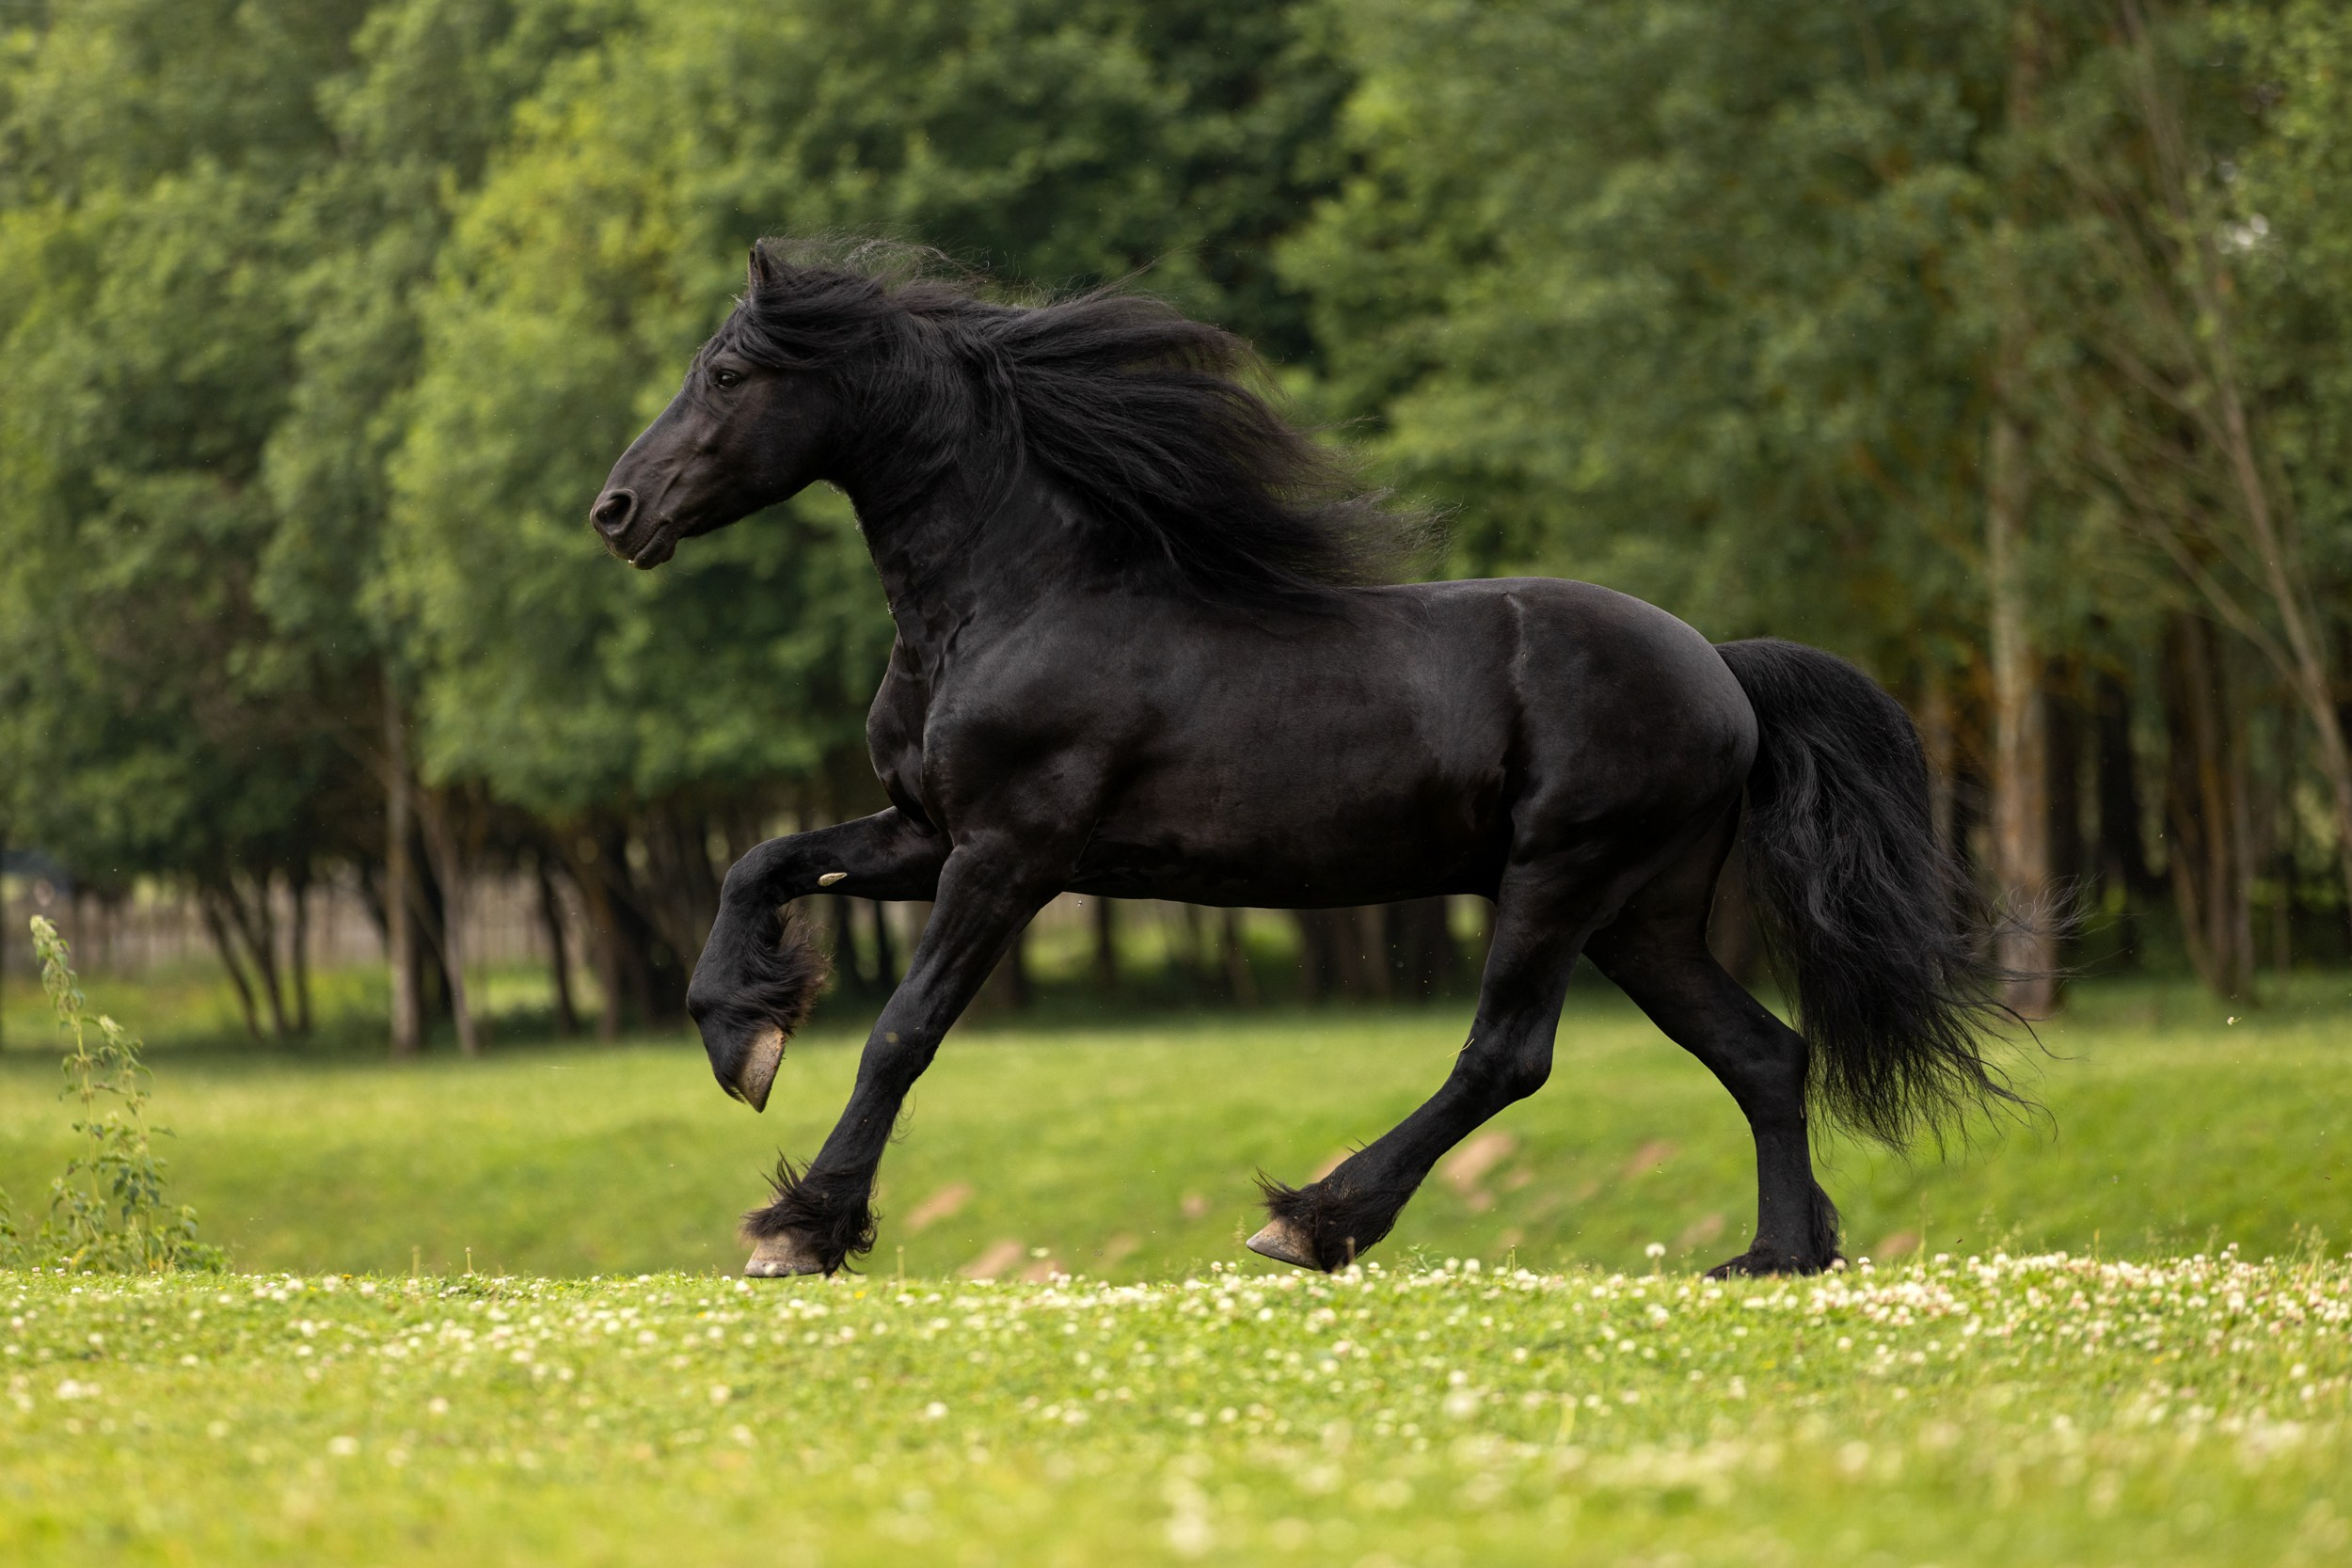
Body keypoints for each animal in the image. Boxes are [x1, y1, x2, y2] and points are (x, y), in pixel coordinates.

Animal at [590, 240, 2012, 1281]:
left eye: (729, 373)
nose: (618, 510)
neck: (1012, 597)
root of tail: (1720, 665)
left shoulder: (1010, 852)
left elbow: (903, 1030)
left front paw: (801, 1224)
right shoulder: (921, 832)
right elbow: (761, 859)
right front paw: (743, 1039)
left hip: (1563, 877)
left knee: (1509, 1053)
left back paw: (1314, 1217)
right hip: (1643, 912)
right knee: (1765, 1053)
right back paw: (1776, 1254)